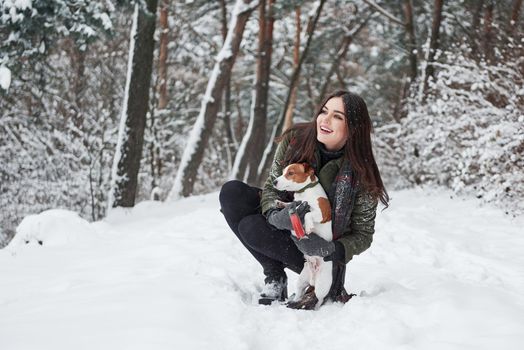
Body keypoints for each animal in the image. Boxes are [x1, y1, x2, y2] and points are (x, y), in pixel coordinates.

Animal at [274, 163, 332, 308]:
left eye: (290, 173)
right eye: (283, 171)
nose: (274, 181)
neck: (305, 192)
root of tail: (312, 278)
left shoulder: (321, 213)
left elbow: (308, 214)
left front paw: (309, 225)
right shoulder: (297, 204)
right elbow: (290, 204)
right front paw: (281, 203)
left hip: (322, 286)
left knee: (320, 299)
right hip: (301, 280)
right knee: (299, 294)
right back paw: (293, 301)